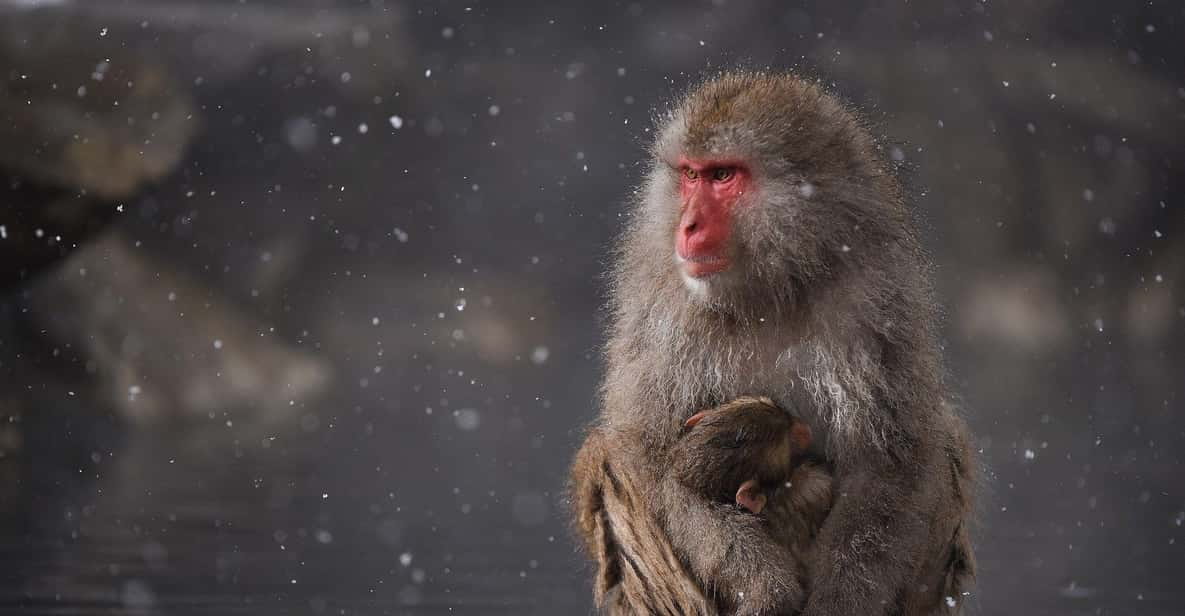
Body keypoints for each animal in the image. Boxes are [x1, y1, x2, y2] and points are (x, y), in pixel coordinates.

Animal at [570, 71, 975, 616]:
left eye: (723, 176)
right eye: (690, 176)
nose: (687, 225)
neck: (771, 287)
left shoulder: (881, 297)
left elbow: (890, 461)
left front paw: (836, 604)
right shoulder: (660, 304)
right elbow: (648, 456)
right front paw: (764, 587)